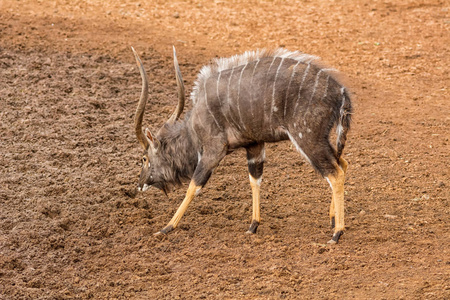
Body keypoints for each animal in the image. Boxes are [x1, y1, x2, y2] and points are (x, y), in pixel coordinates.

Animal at [132, 46, 354, 244]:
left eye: (144, 158)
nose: (140, 185)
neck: (194, 126)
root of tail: (341, 92)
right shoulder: (254, 145)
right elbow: (255, 179)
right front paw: (253, 226)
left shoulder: (214, 150)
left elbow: (194, 186)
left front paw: (166, 228)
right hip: (321, 139)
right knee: (342, 163)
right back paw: (332, 219)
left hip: (307, 139)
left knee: (334, 173)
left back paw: (337, 233)